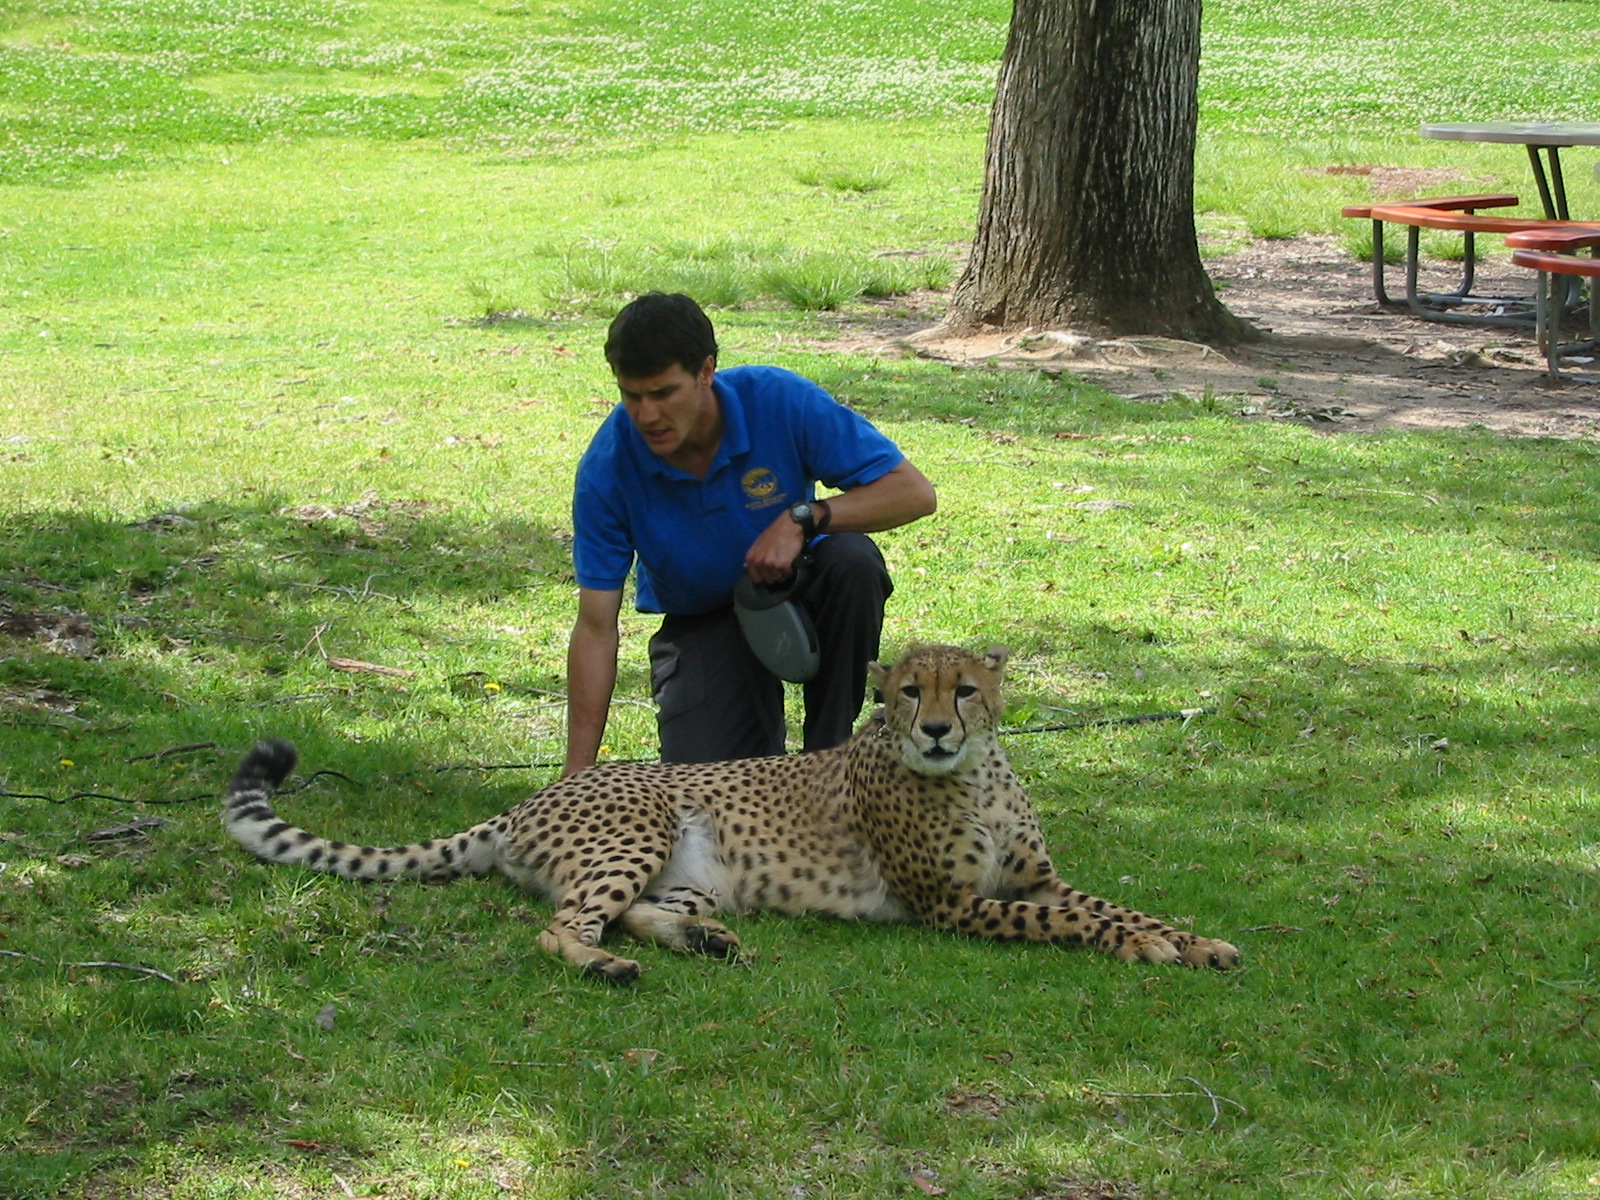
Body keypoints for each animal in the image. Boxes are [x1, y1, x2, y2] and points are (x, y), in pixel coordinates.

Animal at [223, 643, 1239, 982]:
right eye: (906, 692)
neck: (975, 775)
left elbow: (1108, 903)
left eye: (965, 689)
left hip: (701, 876)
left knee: (639, 911)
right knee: (562, 926)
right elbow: (1076, 920)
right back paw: (604, 968)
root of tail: (531, 795)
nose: (939, 729)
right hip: (642, 821)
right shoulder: (952, 907)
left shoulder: (1031, 877)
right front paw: (1155, 948)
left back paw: (700, 944)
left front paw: (1195, 940)